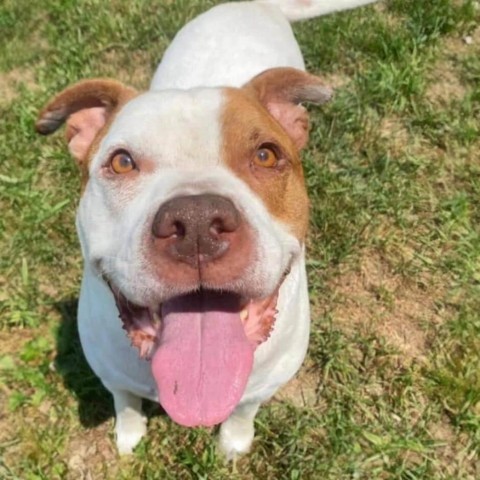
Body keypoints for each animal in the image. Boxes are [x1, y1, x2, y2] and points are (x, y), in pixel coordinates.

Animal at [35, 0, 376, 458]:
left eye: (266, 155)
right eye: (122, 162)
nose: (197, 223)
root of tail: (256, 6)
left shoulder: (263, 384)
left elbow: (243, 411)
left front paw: (233, 443)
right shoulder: (110, 372)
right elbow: (125, 401)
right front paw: (129, 435)